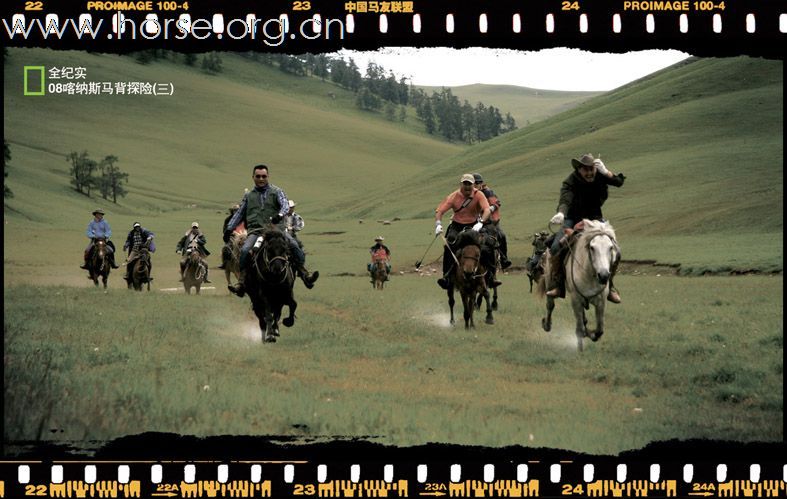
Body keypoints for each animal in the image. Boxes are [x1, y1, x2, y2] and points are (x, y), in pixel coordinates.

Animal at [536, 219, 620, 352]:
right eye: (592, 247)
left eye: (611, 247)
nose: (603, 275)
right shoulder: (576, 300)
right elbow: (580, 329)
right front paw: (580, 349)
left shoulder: (601, 301)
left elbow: (599, 330)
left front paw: (590, 333)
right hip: (550, 282)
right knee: (550, 305)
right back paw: (547, 324)